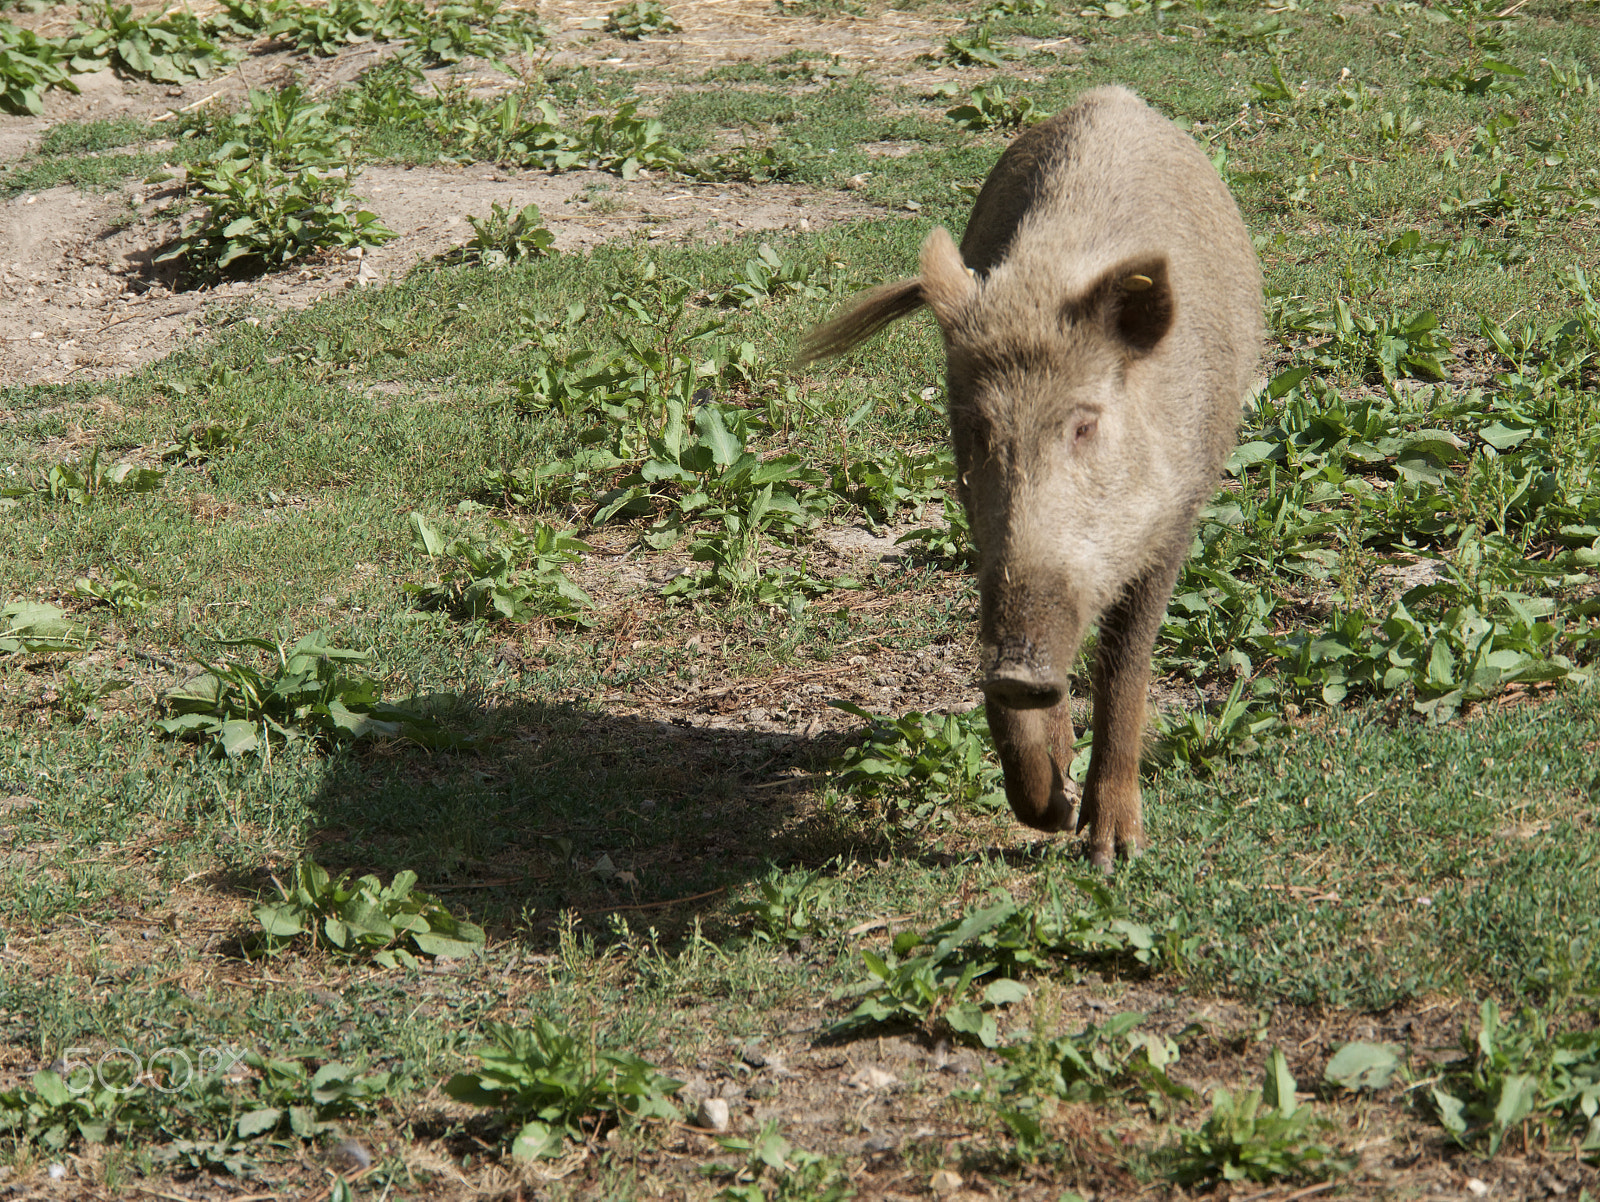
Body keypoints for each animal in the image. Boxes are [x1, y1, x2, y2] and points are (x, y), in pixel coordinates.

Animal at [799, 86, 1262, 870]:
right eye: (980, 429)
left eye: (1084, 425)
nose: (1019, 673)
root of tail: (1114, 95)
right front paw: (1050, 812)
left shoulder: (1176, 510)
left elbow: (1124, 668)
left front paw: (1111, 853)